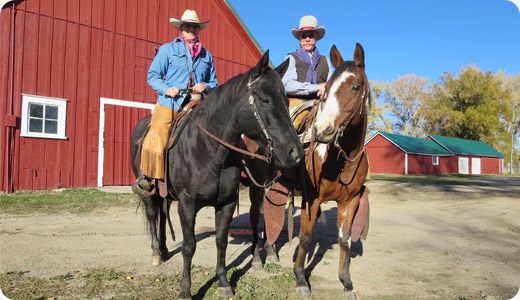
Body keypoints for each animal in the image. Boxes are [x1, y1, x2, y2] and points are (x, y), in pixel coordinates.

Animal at [129, 52, 304, 300]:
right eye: (265, 101)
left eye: (287, 102)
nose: (295, 152)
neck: (209, 149)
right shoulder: (187, 204)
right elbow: (189, 246)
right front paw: (185, 290)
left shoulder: (226, 203)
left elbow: (221, 242)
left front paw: (223, 282)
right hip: (148, 191)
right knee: (153, 215)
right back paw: (155, 253)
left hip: (166, 194)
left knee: (163, 215)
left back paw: (163, 249)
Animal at [248, 42, 370, 298]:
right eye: (328, 88)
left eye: (355, 86)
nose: (322, 130)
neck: (341, 160)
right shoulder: (310, 199)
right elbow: (305, 238)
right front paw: (301, 279)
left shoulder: (350, 201)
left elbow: (345, 240)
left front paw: (346, 282)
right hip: (255, 185)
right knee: (256, 218)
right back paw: (256, 259)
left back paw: (271, 252)